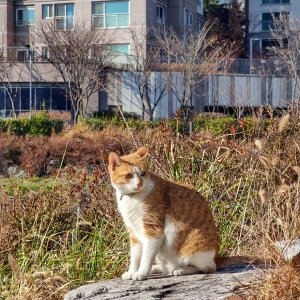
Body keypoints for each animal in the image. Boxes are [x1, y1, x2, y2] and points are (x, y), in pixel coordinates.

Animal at [108, 147, 220, 282]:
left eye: (143, 174)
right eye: (128, 175)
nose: (140, 183)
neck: (132, 198)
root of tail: (216, 257)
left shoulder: (153, 232)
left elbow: (146, 257)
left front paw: (141, 273)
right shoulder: (134, 233)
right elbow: (135, 257)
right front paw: (131, 272)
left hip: (193, 249)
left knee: (206, 268)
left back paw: (179, 270)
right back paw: (158, 268)